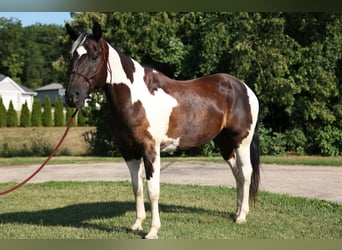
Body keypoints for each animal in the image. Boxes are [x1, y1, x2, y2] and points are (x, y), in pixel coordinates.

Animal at [65, 21, 260, 238]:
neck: (135, 98)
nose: (72, 96)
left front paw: (152, 231)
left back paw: (242, 216)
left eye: (94, 56)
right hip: (224, 143)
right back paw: (236, 213)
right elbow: (137, 187)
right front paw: (137, 224)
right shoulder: (129, 152)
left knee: (246, 173)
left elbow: (153, 190)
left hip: (242, 141)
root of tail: (244, 88)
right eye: (71, 56)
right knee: (237, 174)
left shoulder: (151, 150)